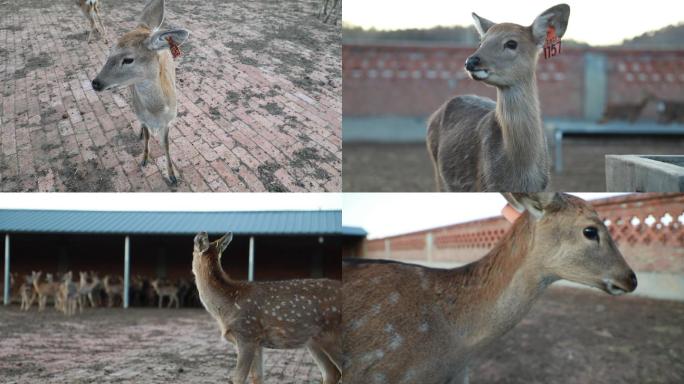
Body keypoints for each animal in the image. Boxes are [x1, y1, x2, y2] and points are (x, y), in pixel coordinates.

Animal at [90, 0, 190, 184]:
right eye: (110, 51)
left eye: (128, 59)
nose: (96, 83)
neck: (157, 111)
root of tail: (146, 27)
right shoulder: (142, 115)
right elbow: (148, 135)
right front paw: (144, 159)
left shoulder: (169, 121)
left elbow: (166, 145)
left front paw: (172, 176)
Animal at [192, 231, 342, 384]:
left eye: (192, 250)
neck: (226, 307)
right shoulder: (257, 342)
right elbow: (257, 377)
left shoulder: (247, 334)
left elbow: (238, 378)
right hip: (313, 341)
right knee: (332, 373)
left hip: (333, 335)